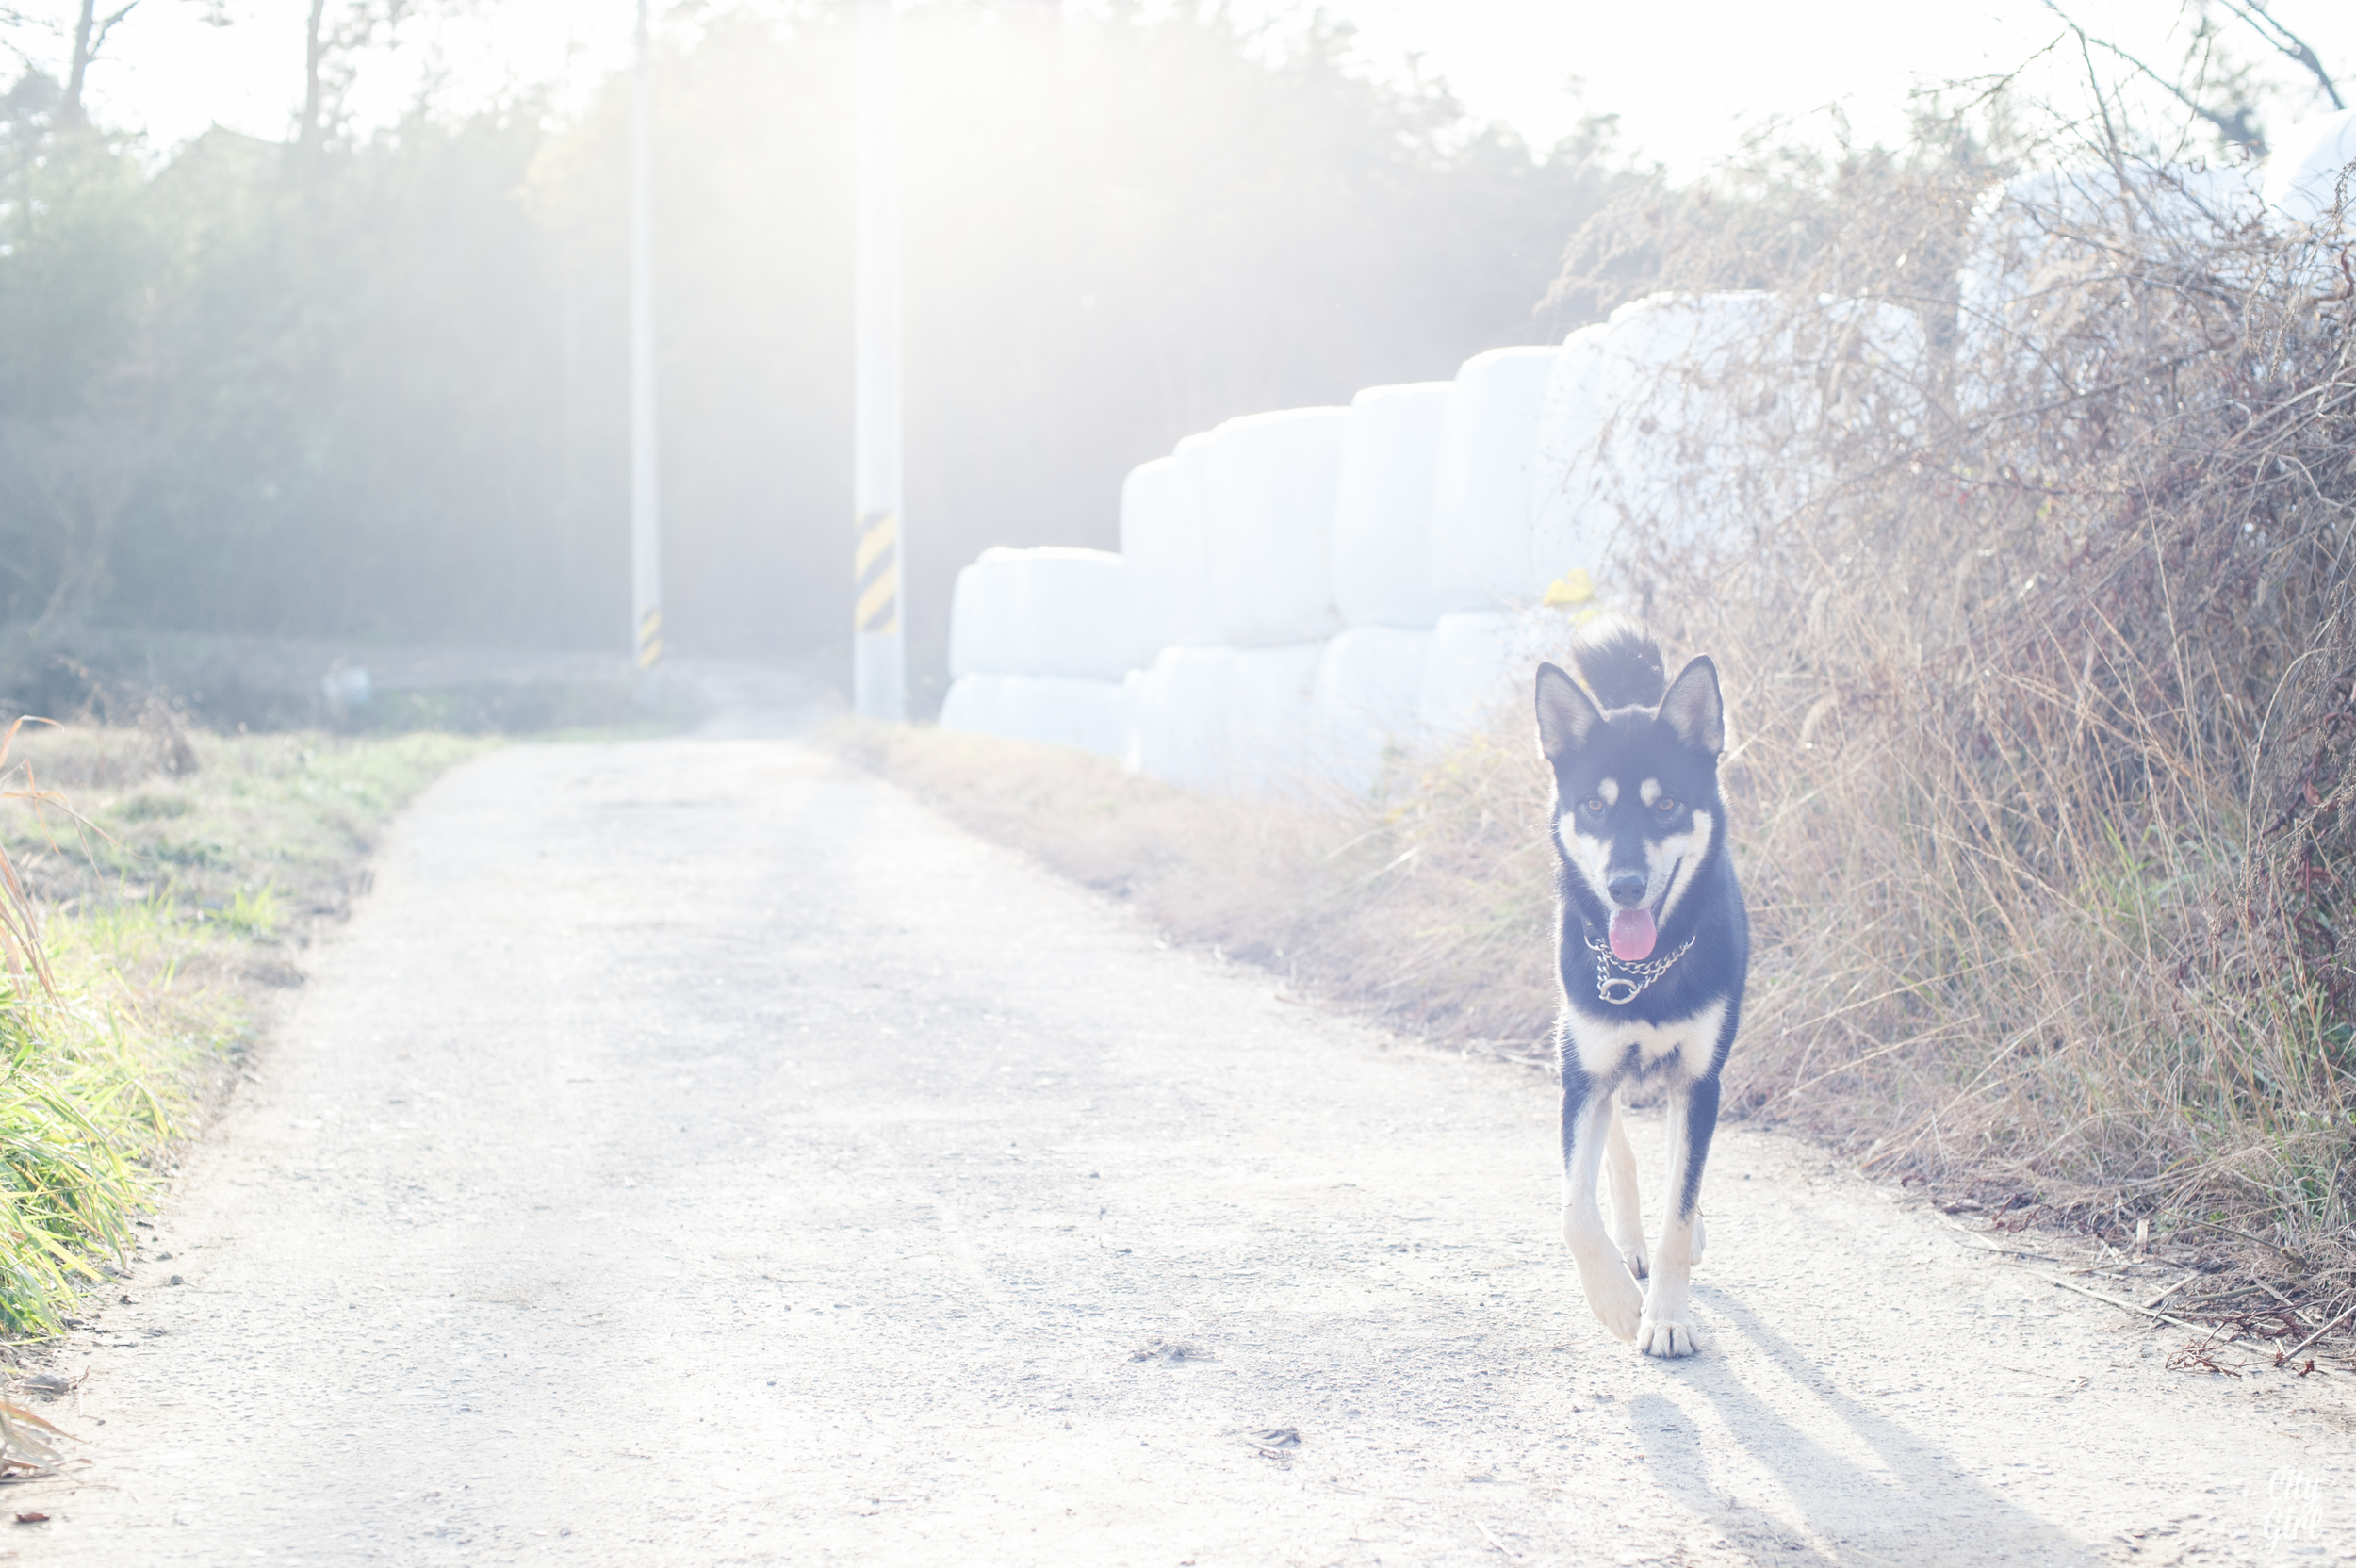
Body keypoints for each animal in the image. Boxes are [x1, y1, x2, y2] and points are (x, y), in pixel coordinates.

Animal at [1527, 616, 1753, 1347]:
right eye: (1595, 806)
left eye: (1669, 805)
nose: (1625, 886)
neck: (1641, 974)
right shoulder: (1582, 1076)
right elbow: (1572, 1206)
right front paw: (1618, 1302)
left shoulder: (1702, 1081)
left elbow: (1680, 1206)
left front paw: (1669, 1319)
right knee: (1617, 1156)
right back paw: (1628, 1246)